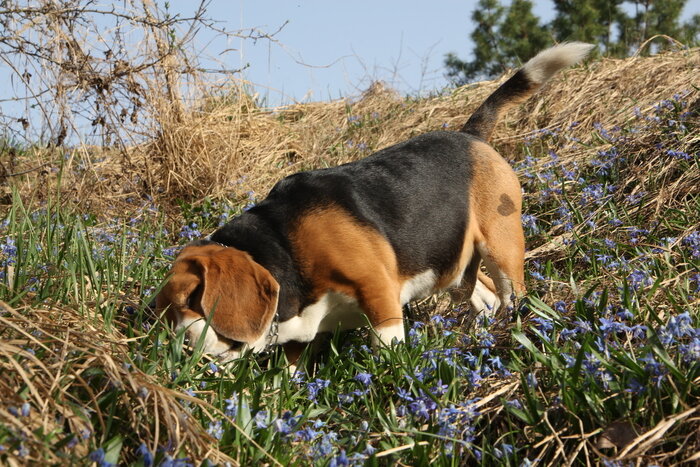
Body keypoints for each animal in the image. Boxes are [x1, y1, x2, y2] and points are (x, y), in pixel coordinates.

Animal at [157, 43, 592, 366]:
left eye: (190, 299)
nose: (178, 349)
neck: (280, 246)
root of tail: (470, 135)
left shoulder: (379, 292)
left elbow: (387, 346)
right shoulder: (300, 338)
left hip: (502, 246)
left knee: (508, 292)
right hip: (454, 268)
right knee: (480, 295)